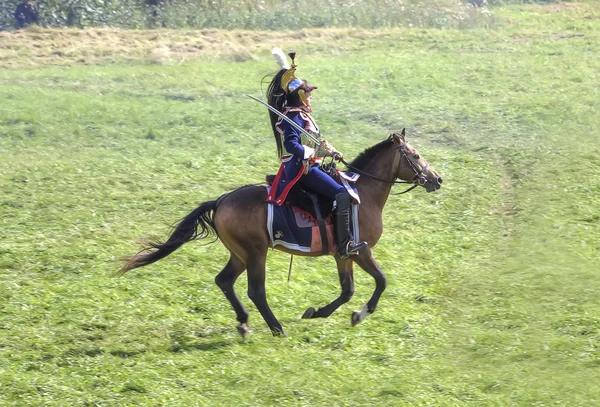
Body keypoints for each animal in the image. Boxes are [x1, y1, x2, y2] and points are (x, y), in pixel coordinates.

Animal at [119, 131, 442, 338]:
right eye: (415, 155)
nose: (436, 179)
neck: (363, 193)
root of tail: (221, 200)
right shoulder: (360, 250)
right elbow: (381, 281)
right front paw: (359, 314)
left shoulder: (344, 254)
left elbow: (347, 290)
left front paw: (318, 312)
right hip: (255, 253)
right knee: (256, 291)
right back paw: (276, 328)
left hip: (239, 254)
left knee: (224, 281)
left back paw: (244, 322)